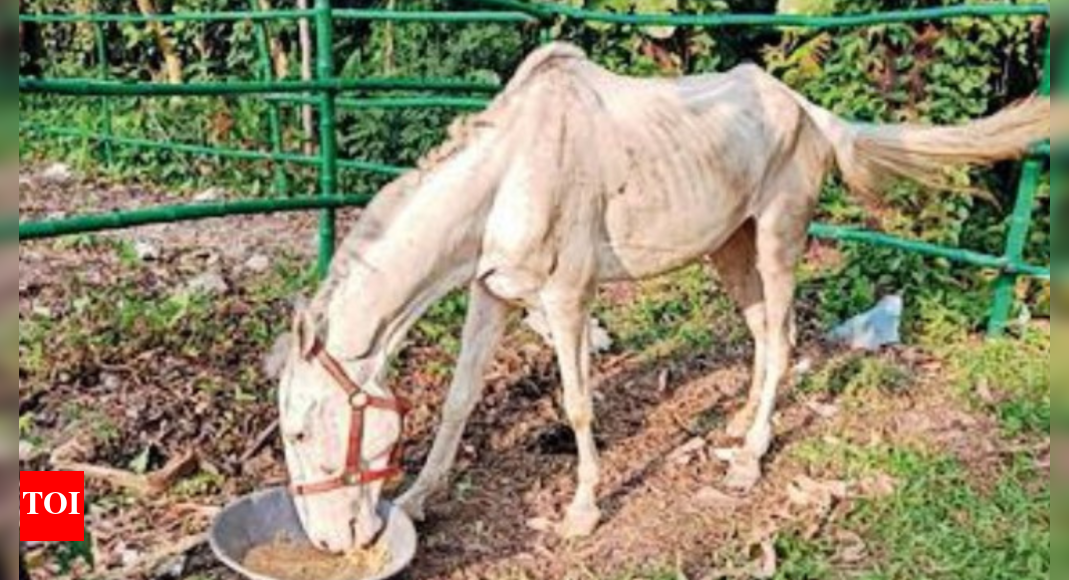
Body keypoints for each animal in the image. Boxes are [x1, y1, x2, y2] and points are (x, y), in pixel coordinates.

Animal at [266, 42, 1049, 553]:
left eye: (302, 434)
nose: (334, 544)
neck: (509, 174)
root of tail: (804, 108)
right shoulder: (493, 295)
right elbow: (460, 398)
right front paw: (419, 500)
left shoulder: (568, 297)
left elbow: (577, 402)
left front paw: (582, 512)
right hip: (729, 248)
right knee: (764, 335)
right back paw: (738, 426)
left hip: (778, 237)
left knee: (783, 338)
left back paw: (749, 458)